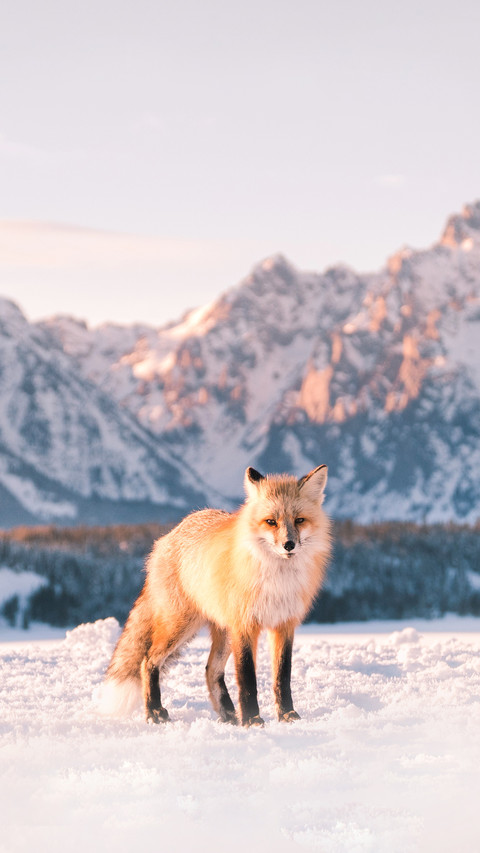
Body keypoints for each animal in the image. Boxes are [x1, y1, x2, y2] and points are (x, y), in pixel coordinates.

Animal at [102, 464, 332, 727]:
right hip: (180, 626)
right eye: (271, 522)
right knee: (147, 660)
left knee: (210, 669)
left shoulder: (284, 624)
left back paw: (228, 713)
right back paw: (154, 711)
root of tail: (169, 535)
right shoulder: (245, 626)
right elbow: (248, 680)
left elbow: (282, 678)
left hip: (222, 633)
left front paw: (286, 715)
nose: (289, 545)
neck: (277, 581)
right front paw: (252, 719)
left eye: (299, 520)